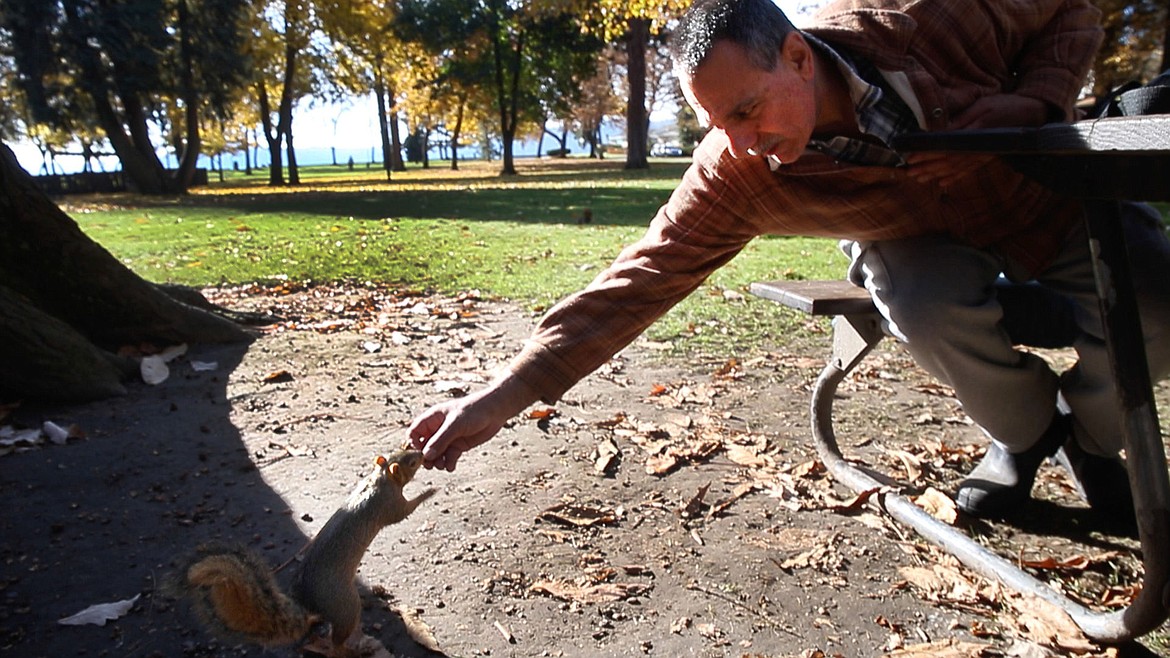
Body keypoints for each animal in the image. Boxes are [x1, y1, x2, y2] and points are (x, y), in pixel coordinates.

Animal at [170, 447, 432, 650]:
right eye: (411, 462)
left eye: (406, 449)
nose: (421, 453)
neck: (380, 479)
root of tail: (309, 605)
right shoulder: (390, 505)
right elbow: (404, 512)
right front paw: (428, 492)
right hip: (346, 605)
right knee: (336, 645)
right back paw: (353, 649)